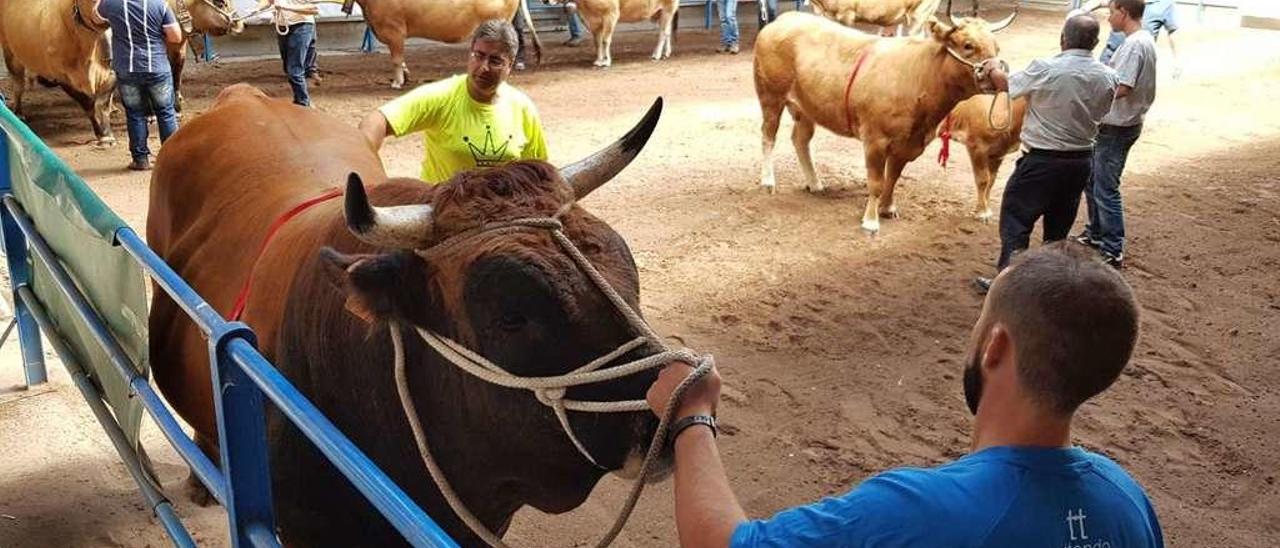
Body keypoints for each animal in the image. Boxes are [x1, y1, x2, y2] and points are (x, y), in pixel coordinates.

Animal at [0, 0, 116, 145]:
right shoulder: (62, 76)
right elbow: (88, 105)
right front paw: (101, 134)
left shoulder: (110, 73)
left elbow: (103, 104)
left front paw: (107, 134)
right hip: (10, 52)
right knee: (18, 85)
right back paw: (18, 113)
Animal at [752, 10, 1013, 233]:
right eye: (968, 45)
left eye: (996, 46)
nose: (999, 76)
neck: (920, 75)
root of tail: (782, 20)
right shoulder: (874, 140)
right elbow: (876, 182)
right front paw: (870, 221)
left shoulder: (907, 143)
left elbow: (893, 177)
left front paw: (888, 208)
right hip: (771, 96)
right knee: (768, 136)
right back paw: (768, 181)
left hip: (807, 108)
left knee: (800, 139)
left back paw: (815, 182)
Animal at [942, 92, 1029, 221]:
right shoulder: (977, 147)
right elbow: (982, 180)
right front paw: (982, 212)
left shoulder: (998, 154)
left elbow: (991, 181)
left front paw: (987, 208)